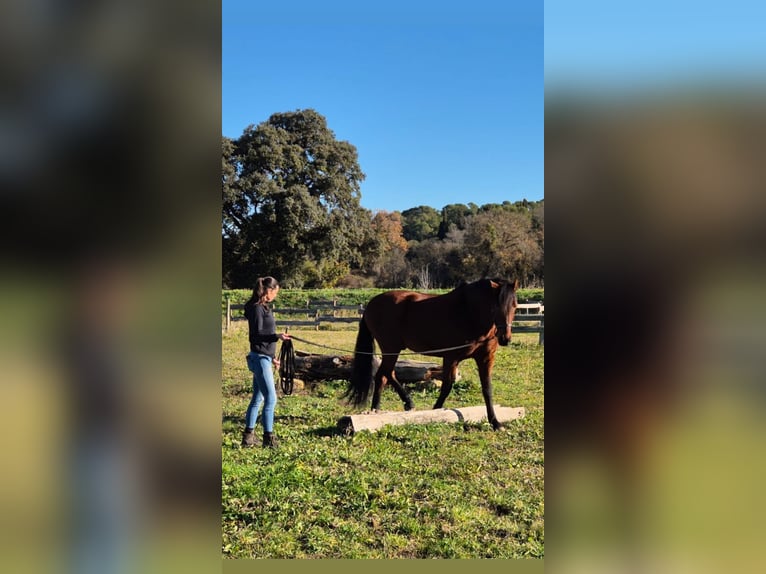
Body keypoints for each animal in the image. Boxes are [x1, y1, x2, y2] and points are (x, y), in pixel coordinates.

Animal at [348, 280, 520, 432]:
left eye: (515, 305)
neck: (469, 313)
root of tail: (371, 304)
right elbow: (447, 386)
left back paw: (382, 409)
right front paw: (436, 411)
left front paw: (495, 422)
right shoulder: (451, 358)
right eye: (495, 306)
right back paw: (399, 405)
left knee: (383, 375)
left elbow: (487, 389)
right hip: (391, 349)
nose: (505, 338)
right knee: (386, 374)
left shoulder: (486, 358)